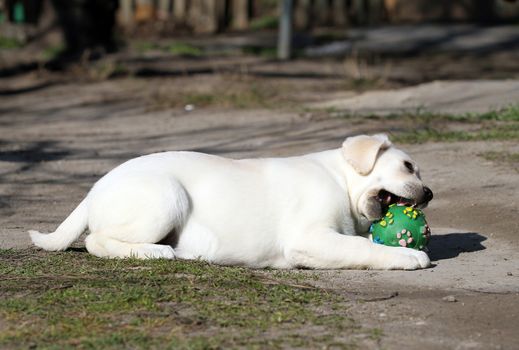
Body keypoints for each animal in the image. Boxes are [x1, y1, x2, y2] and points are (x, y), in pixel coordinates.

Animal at [29, 134, 434, 270]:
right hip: (167, 196)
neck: (341, 179)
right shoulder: (308, 238)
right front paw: (408, 255)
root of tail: (93, 190)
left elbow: (362, 241)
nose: (429, 194)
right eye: (408, 167)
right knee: (96, 240)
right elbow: (363, 247)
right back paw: (152, 252)